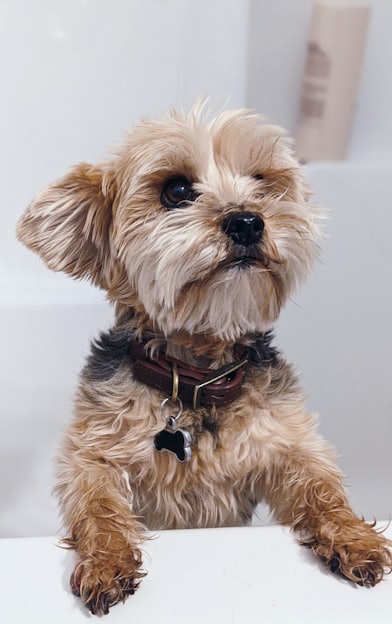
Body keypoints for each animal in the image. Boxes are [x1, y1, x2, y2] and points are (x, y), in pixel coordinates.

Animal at [16, 103, 390, 616]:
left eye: (262, 182)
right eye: (176, 191)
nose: (249, 221)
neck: (198, 377)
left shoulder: (287, 443)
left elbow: (322, 486)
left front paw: (355, 537)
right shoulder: (92, 452)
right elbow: (98, 504)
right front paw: (106, 562)